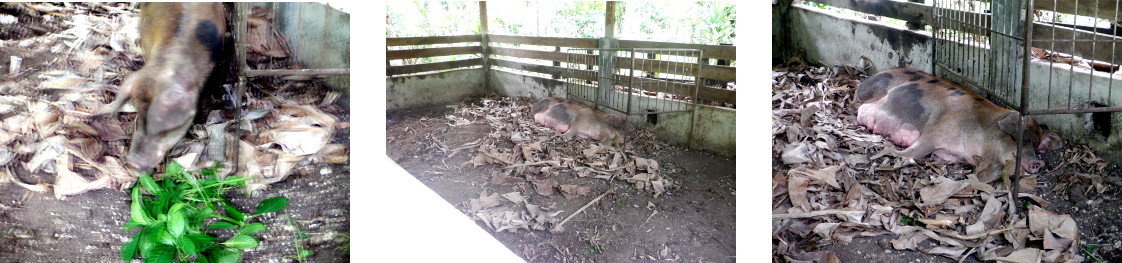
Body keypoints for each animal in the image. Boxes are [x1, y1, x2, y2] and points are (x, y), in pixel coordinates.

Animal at [857, 67, 1059, 176]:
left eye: (1037, 146)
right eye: (1024, 138)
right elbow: (914, 151)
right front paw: (891, 150)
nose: (1039, 163)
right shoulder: (936, 130)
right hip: (869, 90)